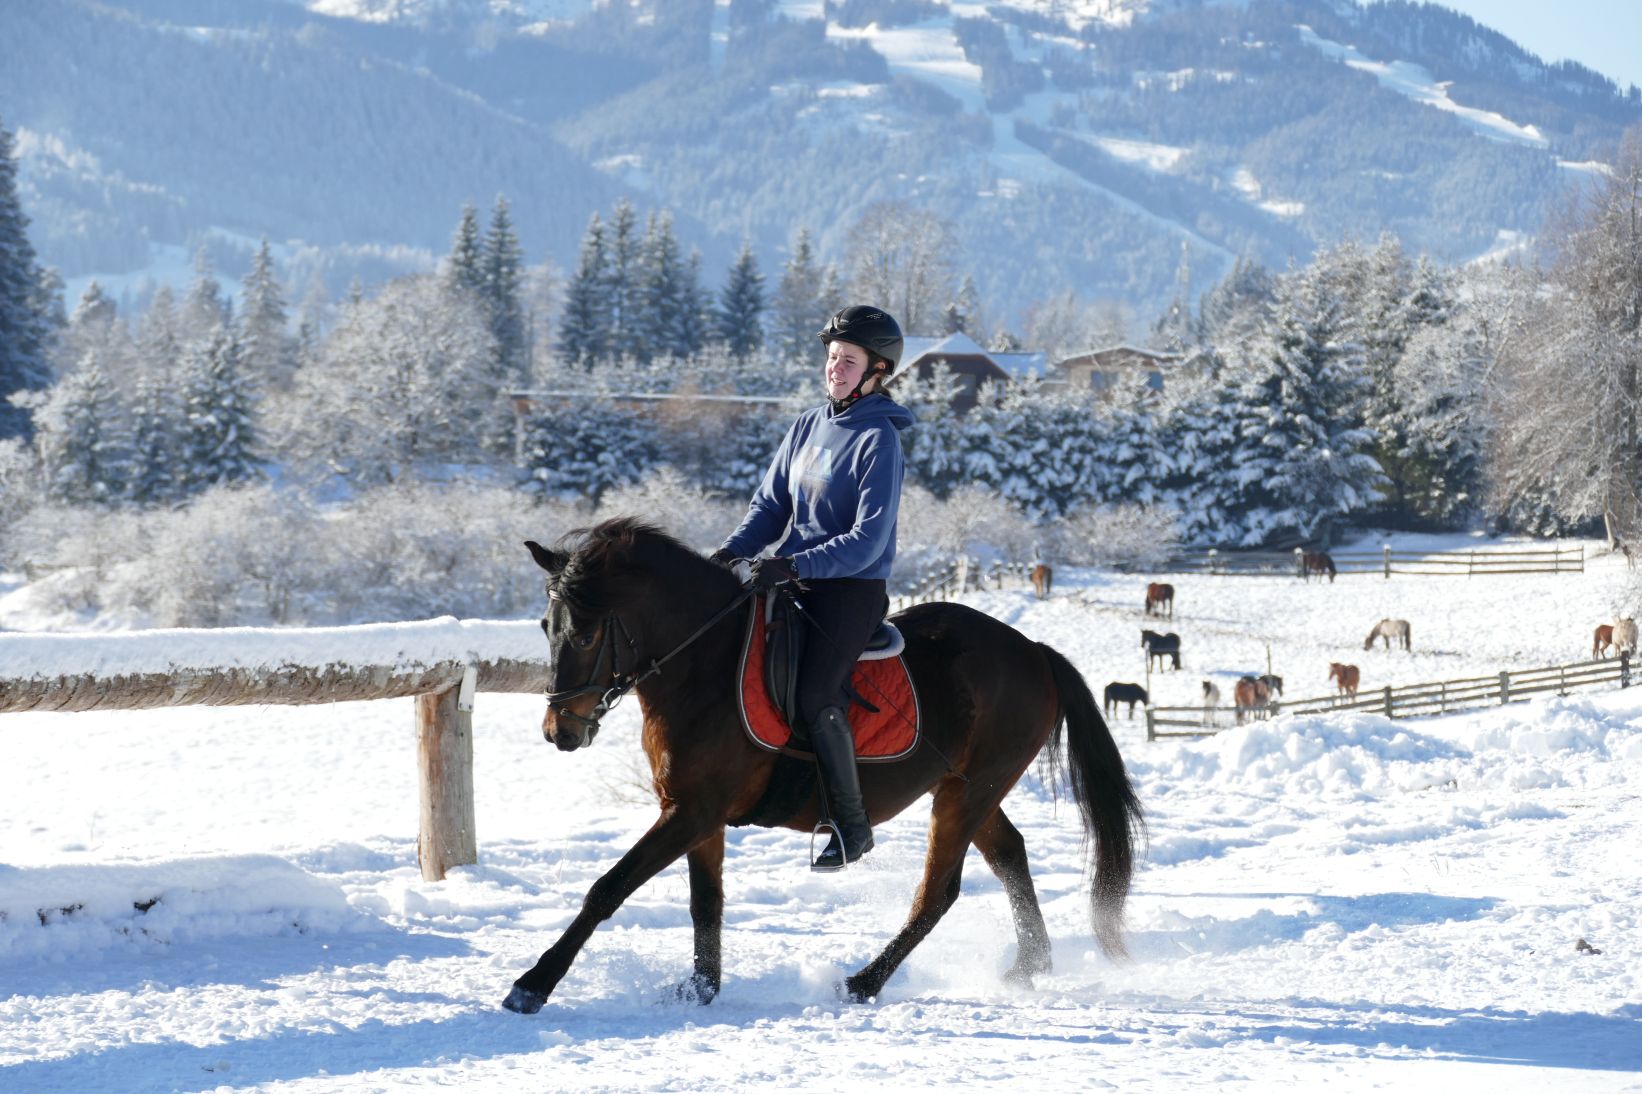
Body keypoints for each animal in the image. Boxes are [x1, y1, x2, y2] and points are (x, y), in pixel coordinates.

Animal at [503, 518, 1144, 1014]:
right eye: (546, 628)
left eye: (587, 635)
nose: (560, 732)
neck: (704, 666)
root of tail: (1033, 651)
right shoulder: (693, 815)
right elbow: (705, 902)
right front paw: (701, 988)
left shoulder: (692, 812)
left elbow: (607, 889)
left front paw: (533, 986)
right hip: (968, 788)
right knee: (1010, 854)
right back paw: (1028, 965)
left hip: (969, 794)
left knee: (938, 891)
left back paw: (864, 982)